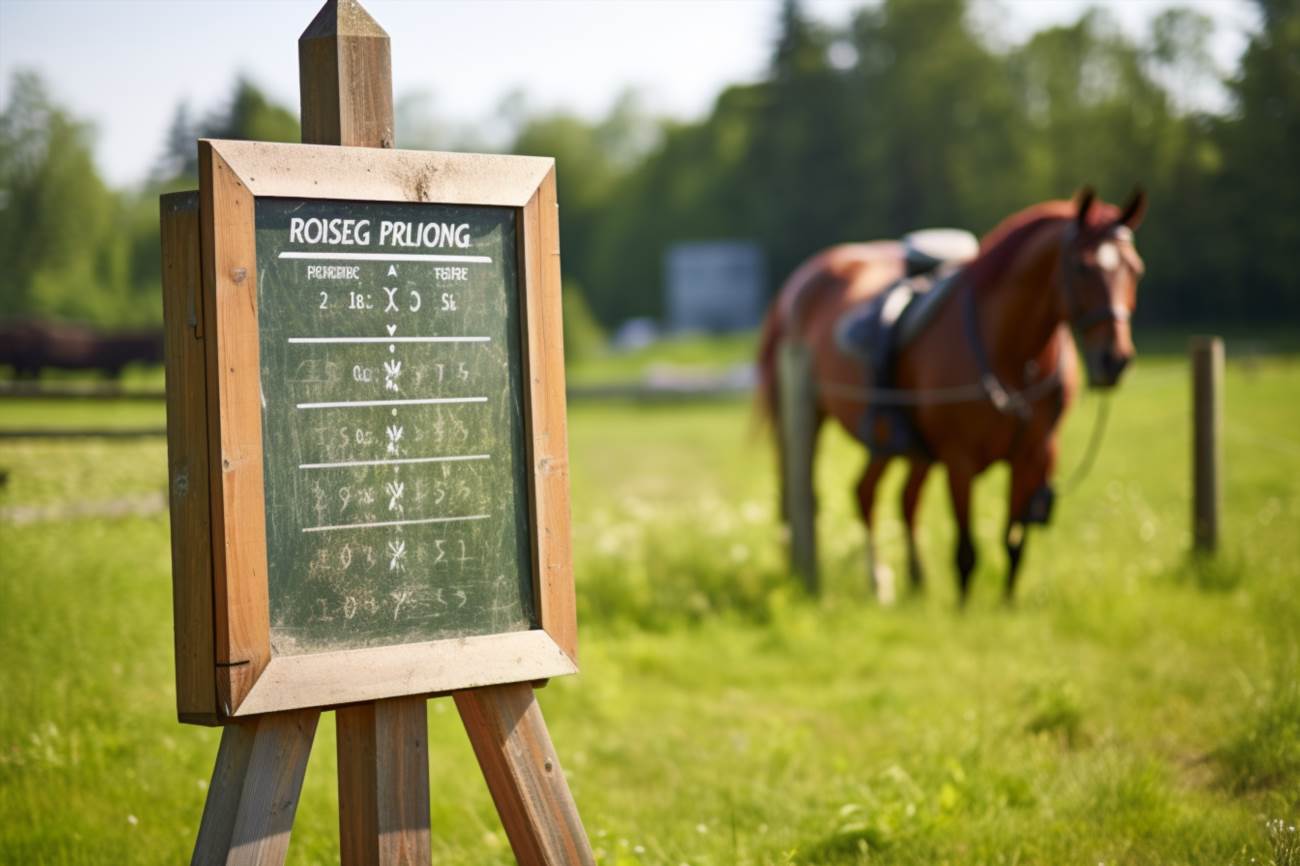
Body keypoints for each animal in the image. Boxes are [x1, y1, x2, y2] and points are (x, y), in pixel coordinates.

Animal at [759, 188, 1149, 600]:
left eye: (1135, 270)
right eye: (1081, 267)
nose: (1115, 360)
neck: (1010, 353)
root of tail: (803, 279)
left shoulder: (1034, 454)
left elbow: (1014, 542)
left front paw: (1007, 605)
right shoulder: (958, 459)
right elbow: (966, 550)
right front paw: (964, 608)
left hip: (900, 444)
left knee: (892, 497)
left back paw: (914, 580)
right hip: (816, 421)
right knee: (828, 495)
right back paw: (876, 581)